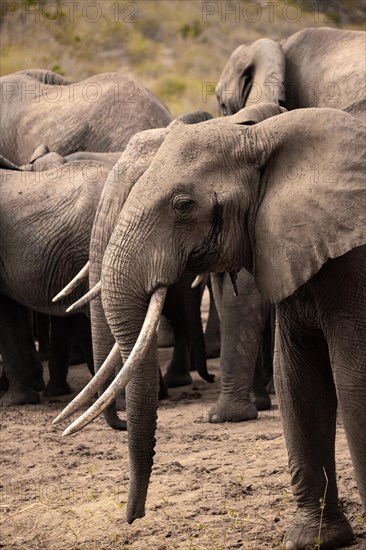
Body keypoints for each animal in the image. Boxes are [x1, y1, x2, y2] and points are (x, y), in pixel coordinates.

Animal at [58, 102, 366, 548]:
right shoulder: (290, 244)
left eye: (183, 205)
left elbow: (353, 379)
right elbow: (296, 378)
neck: (260, 134)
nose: (132, 518)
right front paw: (313, 539)